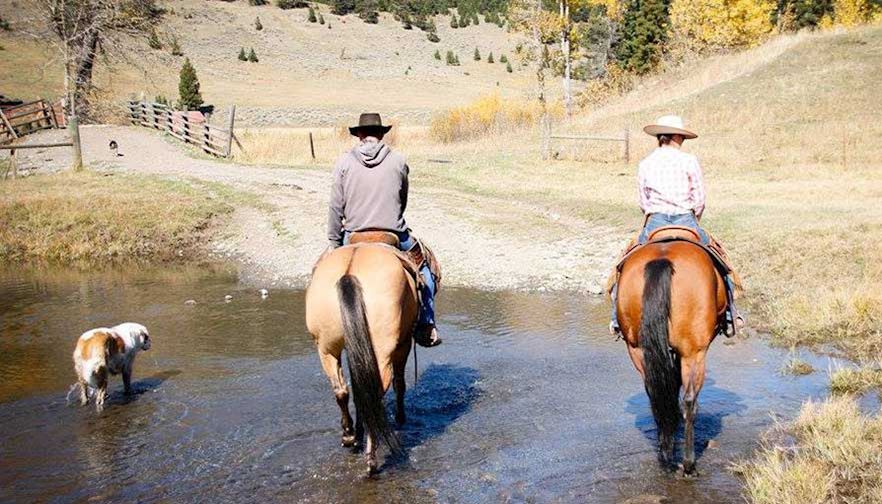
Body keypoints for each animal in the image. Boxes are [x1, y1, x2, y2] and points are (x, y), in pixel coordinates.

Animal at [304, 234, 428, 474]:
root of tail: (349, 274)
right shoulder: (403, 344)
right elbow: (399, 384)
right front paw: (401, 417)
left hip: (326, 349)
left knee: (342, 391)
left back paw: (349, 436)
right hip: (382, 350)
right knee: (374, 393)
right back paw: (371, 460)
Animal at [616, 226, 724, 474]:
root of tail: (662, 259)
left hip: (636, 349)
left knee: (655, 393)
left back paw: (666, 456)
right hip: (694, 352)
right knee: (689, 401)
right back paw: (688, 464)